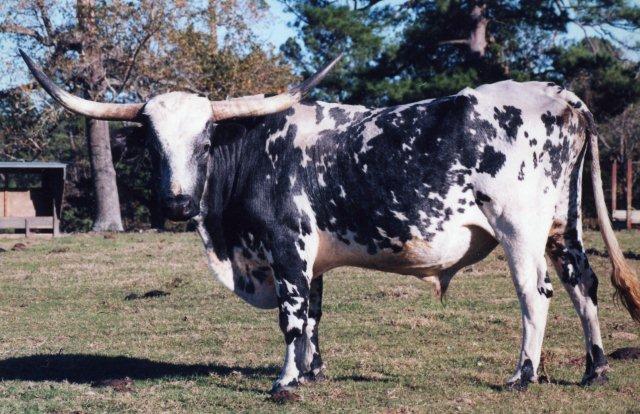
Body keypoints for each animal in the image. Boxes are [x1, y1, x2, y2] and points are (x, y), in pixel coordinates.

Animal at [20, 50, 640, 400]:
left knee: (535, 295)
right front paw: (313, 373)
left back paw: (523, 376)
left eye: (204, 139)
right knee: (583, 285)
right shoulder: (309, 257)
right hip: (562, 226)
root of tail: (559, 94)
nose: (175, 203)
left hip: (519, 229)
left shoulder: (286, 248)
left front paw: (285, 383)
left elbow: (292, 318)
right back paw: (595, 370)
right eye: (151, 141)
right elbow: (314, 315)